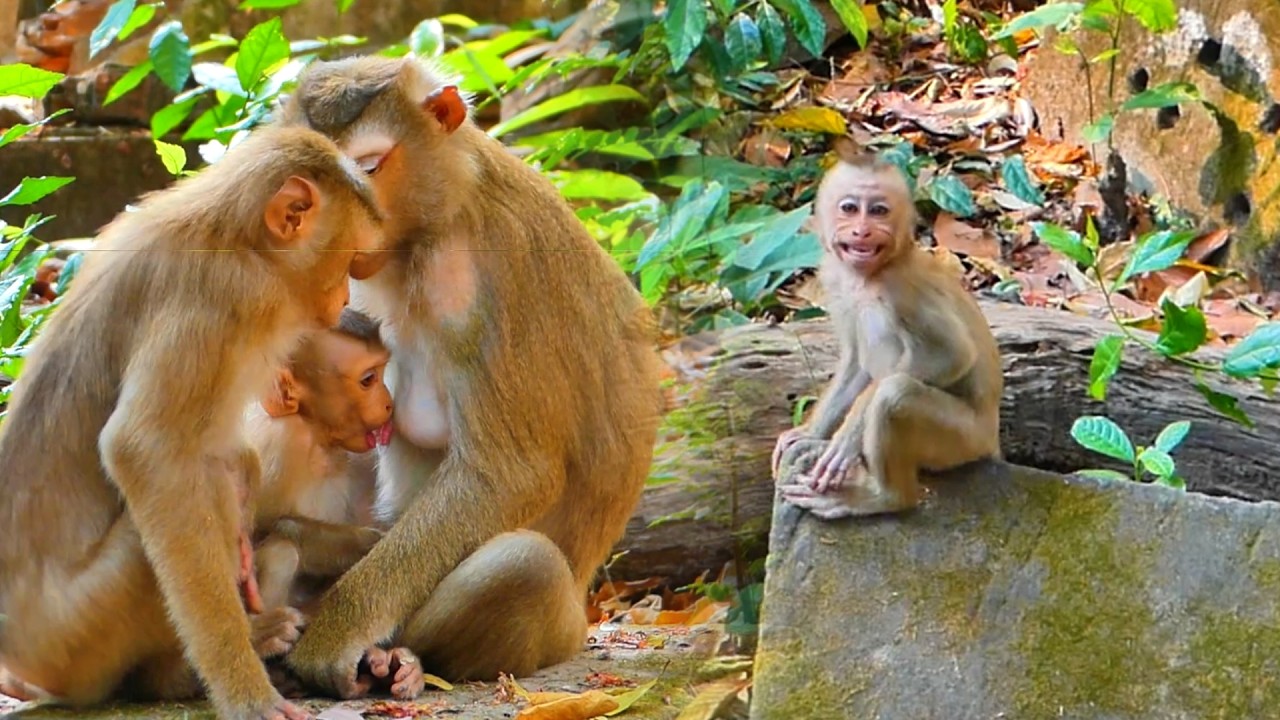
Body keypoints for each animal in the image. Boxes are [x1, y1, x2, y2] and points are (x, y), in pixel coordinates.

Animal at [0, 124, 391, 720]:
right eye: (348, 257)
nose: (347, 295)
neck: (234, 237)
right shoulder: (219, 298)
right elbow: (146, 450)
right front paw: (246, 690)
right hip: (78, 636)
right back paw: (204, 662)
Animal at [269, 54, 665, 698]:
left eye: (369, 169)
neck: (434, 227)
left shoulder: (500, 270)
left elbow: (509, 474)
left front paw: (336, 635)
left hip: (555, 630)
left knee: (525, 563)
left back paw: (401, 658)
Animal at [771, 142, 1003, 519]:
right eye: (850, 209)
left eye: (879, 211)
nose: (863, 231)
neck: (870, 276)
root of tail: (991, 439)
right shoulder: (832, 275)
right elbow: (855, 362)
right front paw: (809, 432)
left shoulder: (902, 291)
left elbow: (953, 355)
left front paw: (848, 436)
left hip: (964, 441)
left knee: (895, 394)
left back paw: (888, 498)